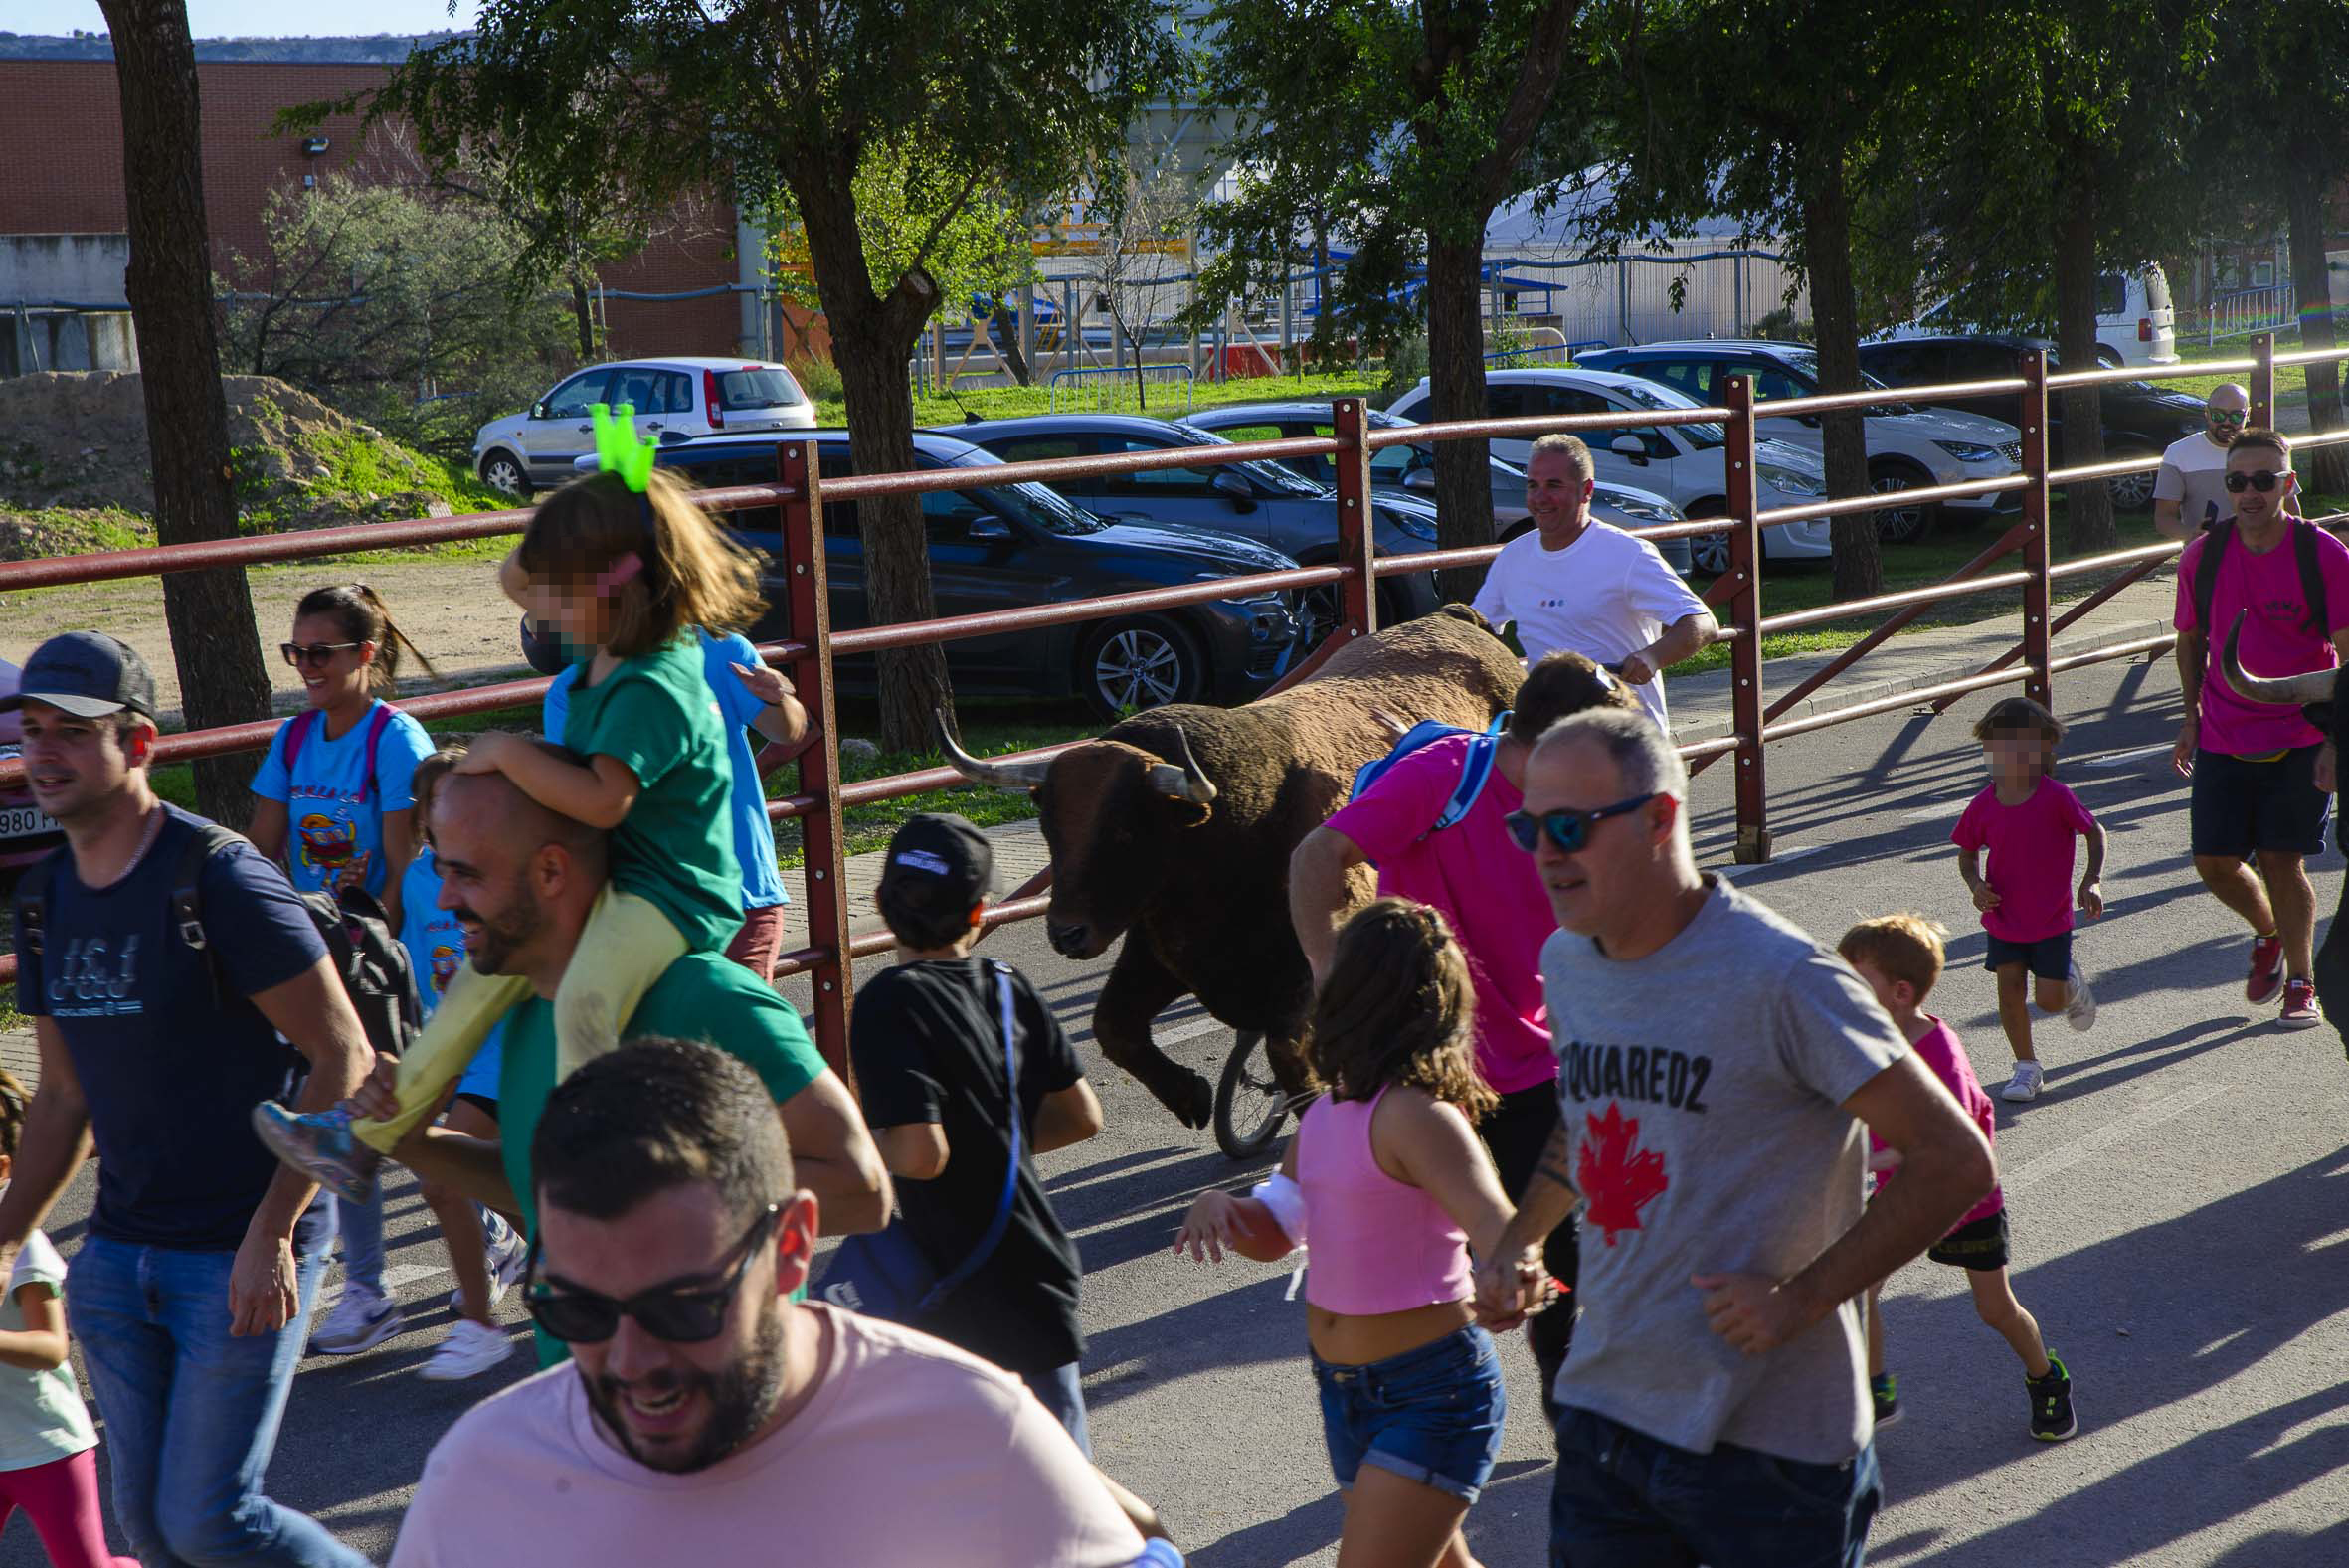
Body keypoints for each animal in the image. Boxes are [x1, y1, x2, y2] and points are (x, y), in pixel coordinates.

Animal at [939, 606, 1522, 1127]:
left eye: (1125, 831)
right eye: (1049, 827)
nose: (1067, 934)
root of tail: (1457, 619)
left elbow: (1290, 1054)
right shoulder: (1160, 954)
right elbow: (1113, 1026)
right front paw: (1190, 1096)